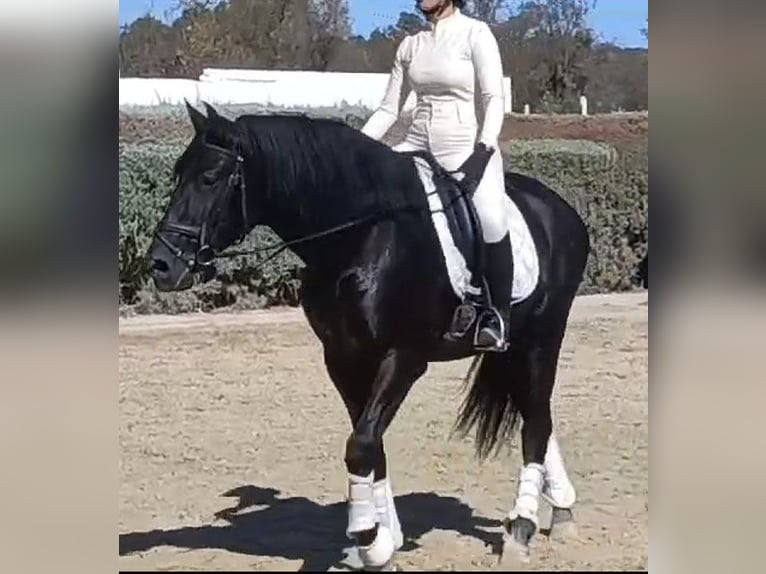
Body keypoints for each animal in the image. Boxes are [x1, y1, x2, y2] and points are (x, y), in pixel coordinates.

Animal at [147, 101, 590, 570]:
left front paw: (369, 539)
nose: (161, 265)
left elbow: (360, 444)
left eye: (210, 178)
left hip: (543, 337)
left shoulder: (404, 358)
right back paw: (559, 508)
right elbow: (370, 445)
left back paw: (522, 527)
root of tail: (559, 208)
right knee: (535, 413)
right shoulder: (343, 358)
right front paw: (382, 541)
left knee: (537, 423)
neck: (360, 237)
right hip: (517, 347)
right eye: (179, 172)